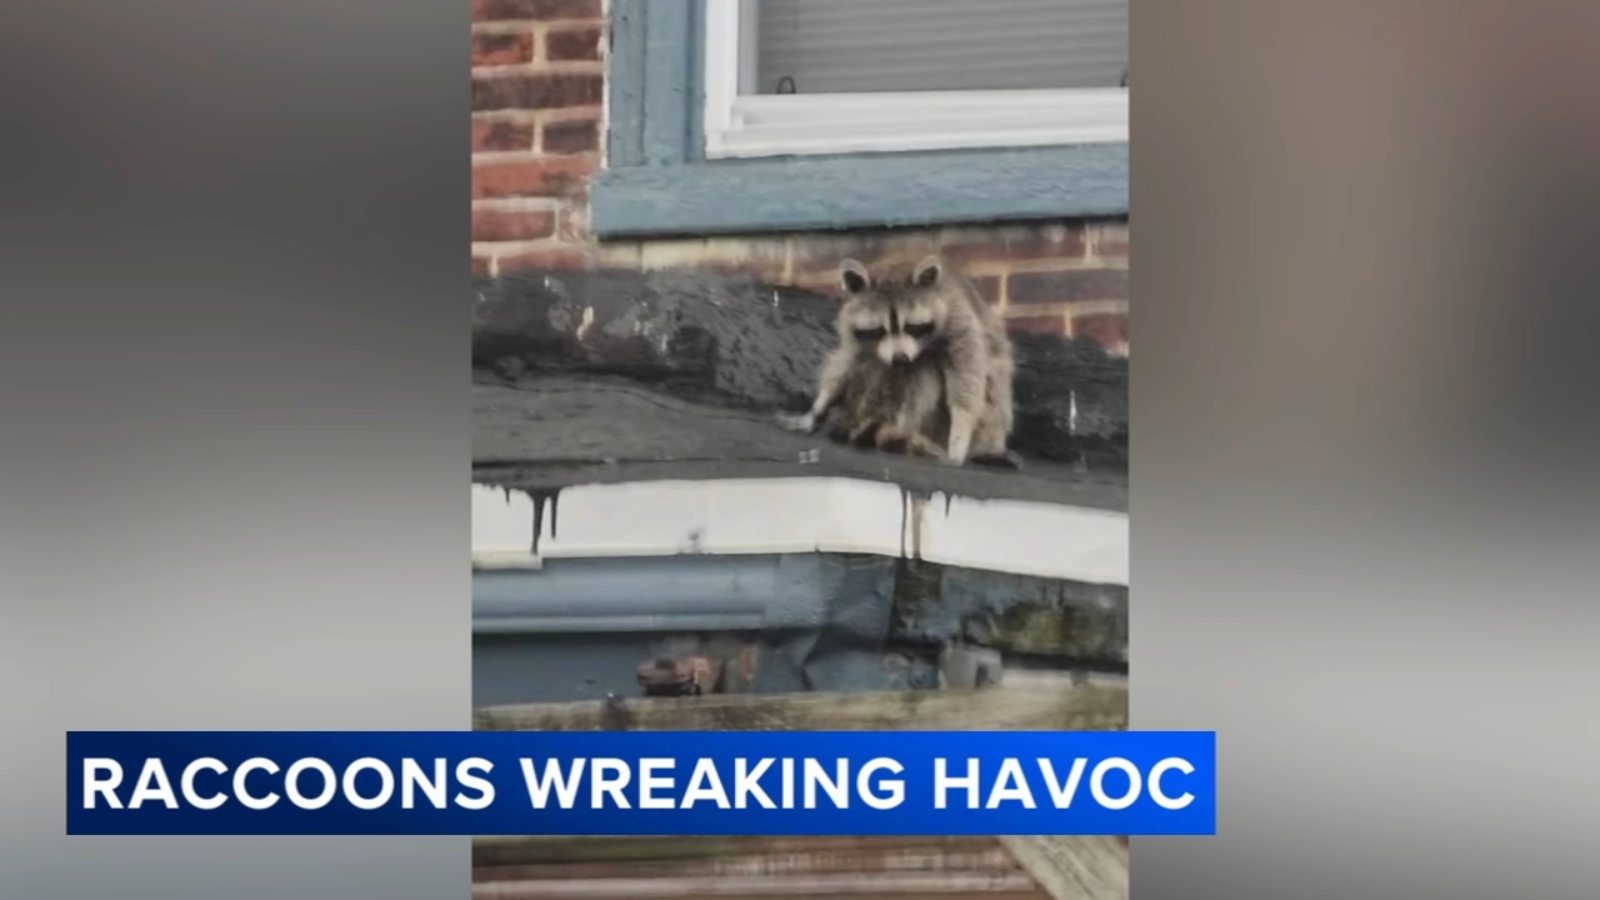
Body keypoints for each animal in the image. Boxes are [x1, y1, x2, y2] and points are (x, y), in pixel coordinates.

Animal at [781, 253, 1018, 467]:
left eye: (913, 327)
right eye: (878, 330)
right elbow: (845, 364)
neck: (897, 268)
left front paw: (960, 431)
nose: (900, 357)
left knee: (920, 369)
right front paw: (818, 407)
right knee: (876, 367)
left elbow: (967, 377)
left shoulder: (958, 319)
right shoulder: (855, 333)